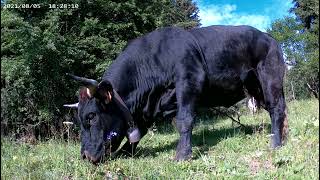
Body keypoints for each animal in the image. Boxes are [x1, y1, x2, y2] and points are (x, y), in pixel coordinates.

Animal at [65, 24, 290, 164]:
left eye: (91, 116)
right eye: (79, 119)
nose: (85, 156)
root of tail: (268, 37)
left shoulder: (189, 81)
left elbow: (184, 120)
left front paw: (182, 155)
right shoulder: (150, 107)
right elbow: (140, 131)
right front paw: (126, 152)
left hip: (270, 77)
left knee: (276, 108)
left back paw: (276, 143)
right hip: (255, 87)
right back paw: (282, 134)